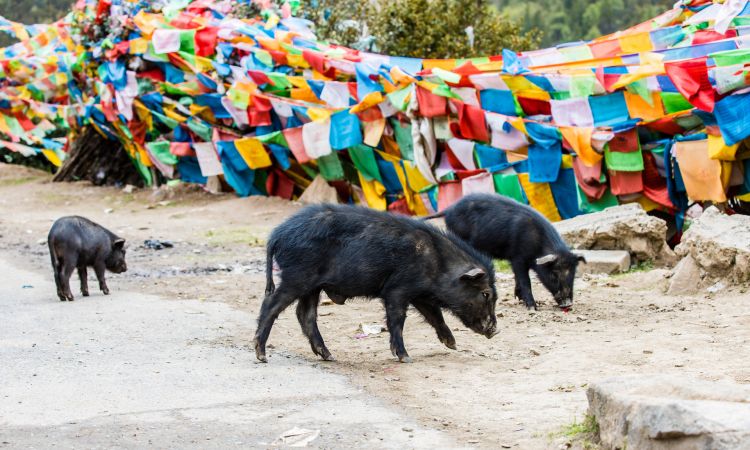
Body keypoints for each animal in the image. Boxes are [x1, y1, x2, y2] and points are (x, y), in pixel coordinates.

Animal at [254, 203, 500, 362]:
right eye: (485, 293)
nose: (495, 330)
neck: (438, 263)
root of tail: (276, 235)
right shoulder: (397, 290)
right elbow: (397, 319)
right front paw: (405, 358)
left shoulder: (420, 294)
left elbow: (435, 315)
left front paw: (452, 344)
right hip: (297, 276)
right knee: (271, 304)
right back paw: (261, 355)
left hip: (312, 286)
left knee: (305, 315)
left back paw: (329, 356)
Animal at [426, 192, 584, 312]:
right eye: (554, 275)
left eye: (573, 274)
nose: (568, 304)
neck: (538, 244)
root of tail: (449, 210)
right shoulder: (518, 257)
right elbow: (525, 280)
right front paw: (532, 308)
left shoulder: (514, 260)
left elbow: (517, 278)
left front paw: (519, 298)